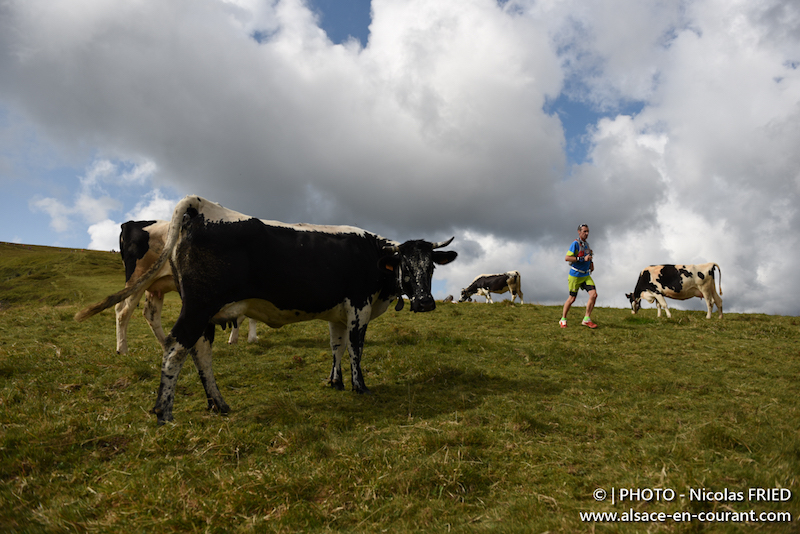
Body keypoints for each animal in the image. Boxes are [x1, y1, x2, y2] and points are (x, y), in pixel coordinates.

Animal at [115, 219, 256, 356]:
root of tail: (130, 223)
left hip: (154, 286)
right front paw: (249, 338)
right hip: (137, 280)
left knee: (150, 315)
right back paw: (122, 349)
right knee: (123, 312)